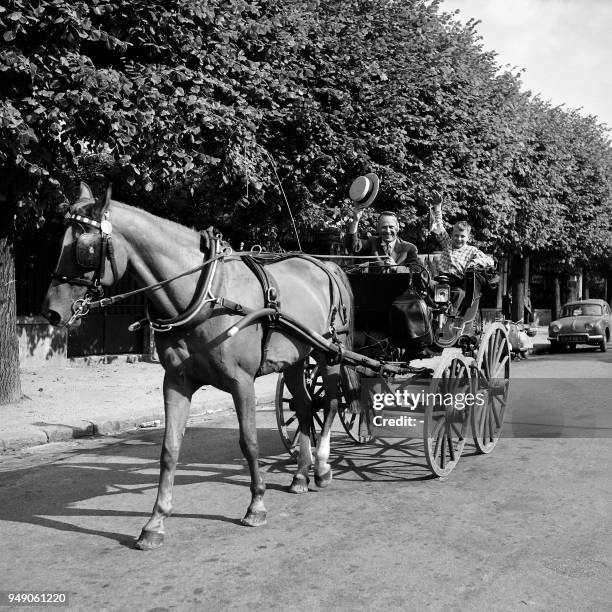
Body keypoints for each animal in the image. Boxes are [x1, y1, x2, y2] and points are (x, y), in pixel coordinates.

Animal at [43, 182, 356, 548]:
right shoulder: (176, 381)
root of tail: (325, 265)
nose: (51, 312)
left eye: (84, 249)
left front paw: (256, 505)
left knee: (331, 402)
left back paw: (321, 467)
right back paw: (301, 475)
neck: (206, 294)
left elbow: (248, 442)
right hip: (295, 359)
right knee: (306, 406)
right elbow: (169, 448)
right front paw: (155, 521)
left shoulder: (242, 382)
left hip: (327, 352)